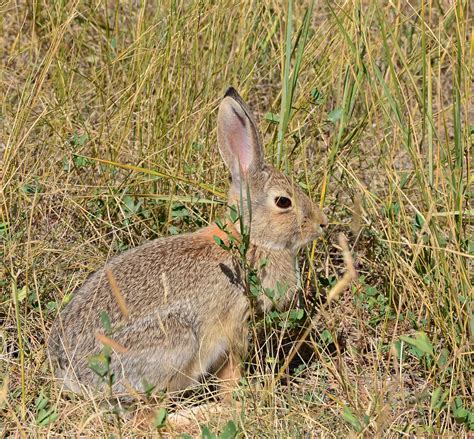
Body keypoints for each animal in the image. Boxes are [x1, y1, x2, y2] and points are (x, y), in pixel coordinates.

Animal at [49, 87, 330, 400]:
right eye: (283, 201)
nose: (322, 223)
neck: (251, 239)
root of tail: (72, 373)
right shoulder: (235, 322)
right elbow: (231, 370)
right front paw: (235, 399)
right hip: (176, 341)